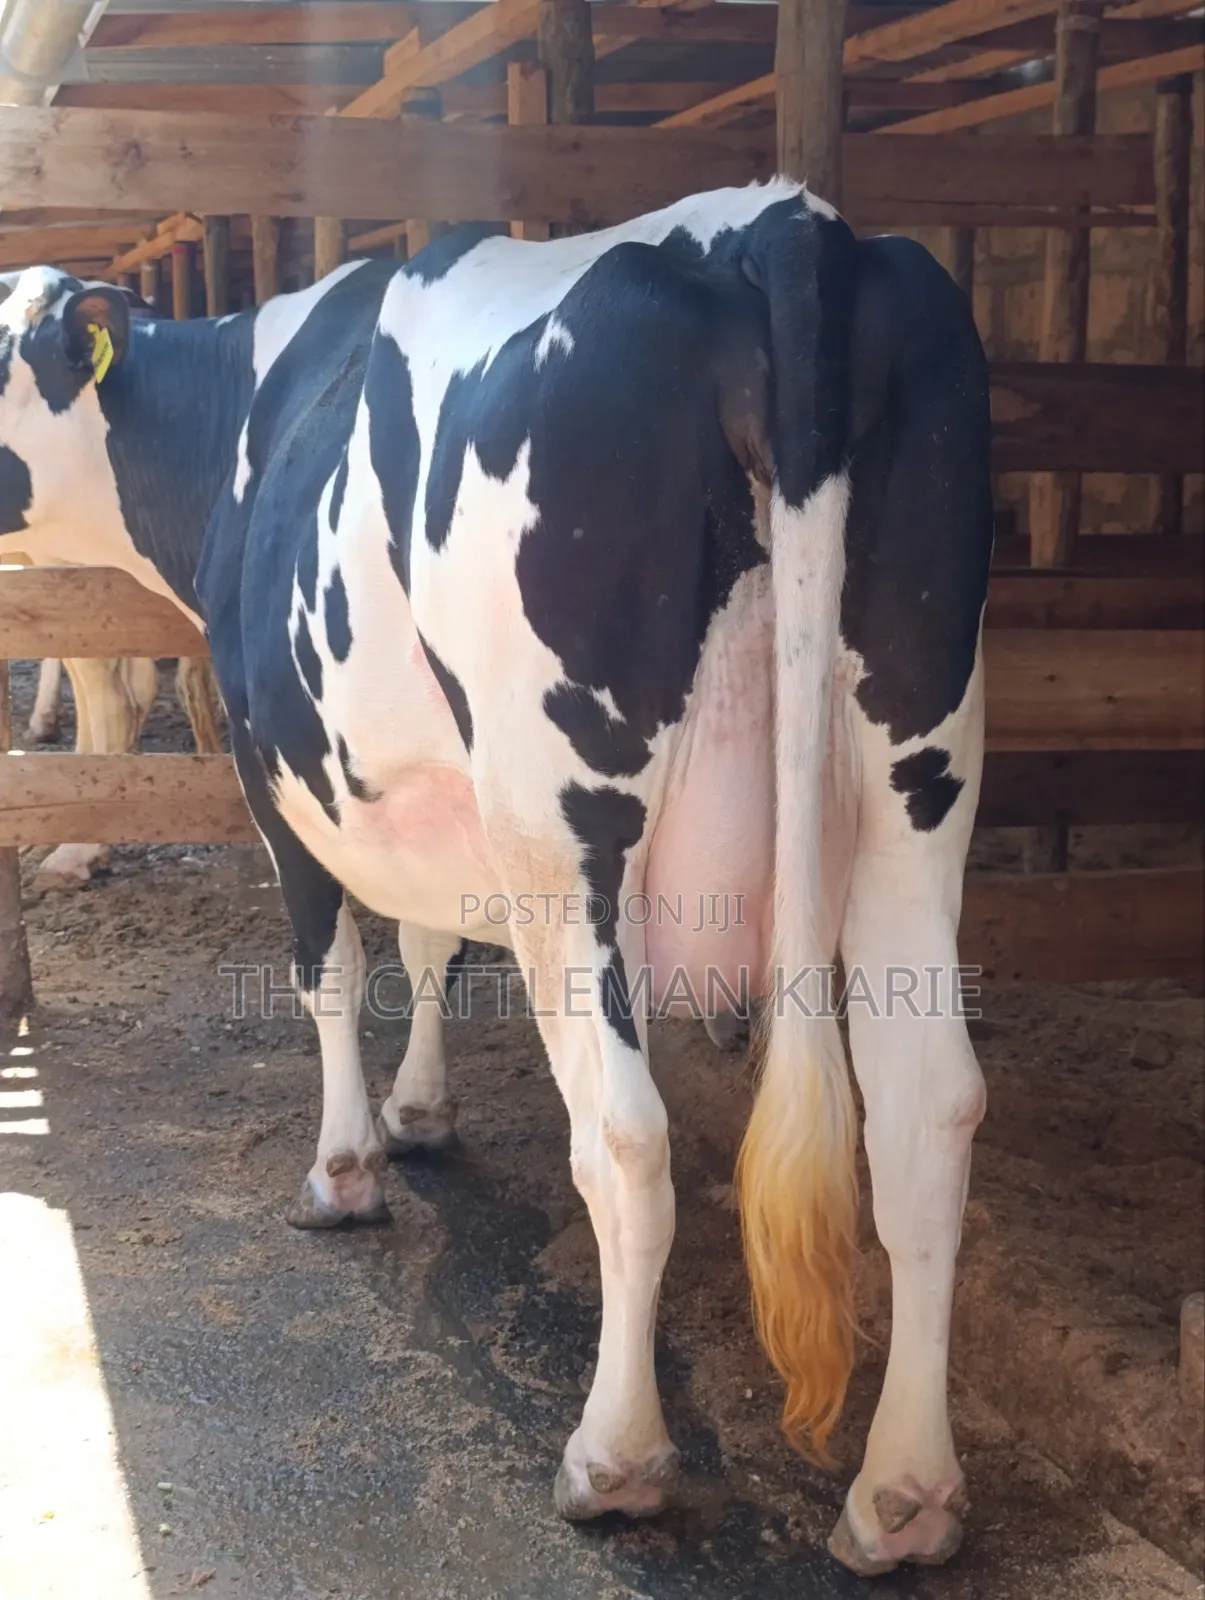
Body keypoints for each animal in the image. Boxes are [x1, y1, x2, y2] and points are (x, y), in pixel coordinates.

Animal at [0, 179, 992, 1576]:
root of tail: (775, 227)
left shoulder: (275, 762)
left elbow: (328, 966)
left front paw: (345, 1168)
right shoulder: (431, 794)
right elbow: (427, 942)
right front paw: (422, 1112)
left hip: (566, 822)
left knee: (624, 1133)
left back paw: (612, 1457)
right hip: (915, 782)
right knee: (927, 1113)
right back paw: (903, 1493)